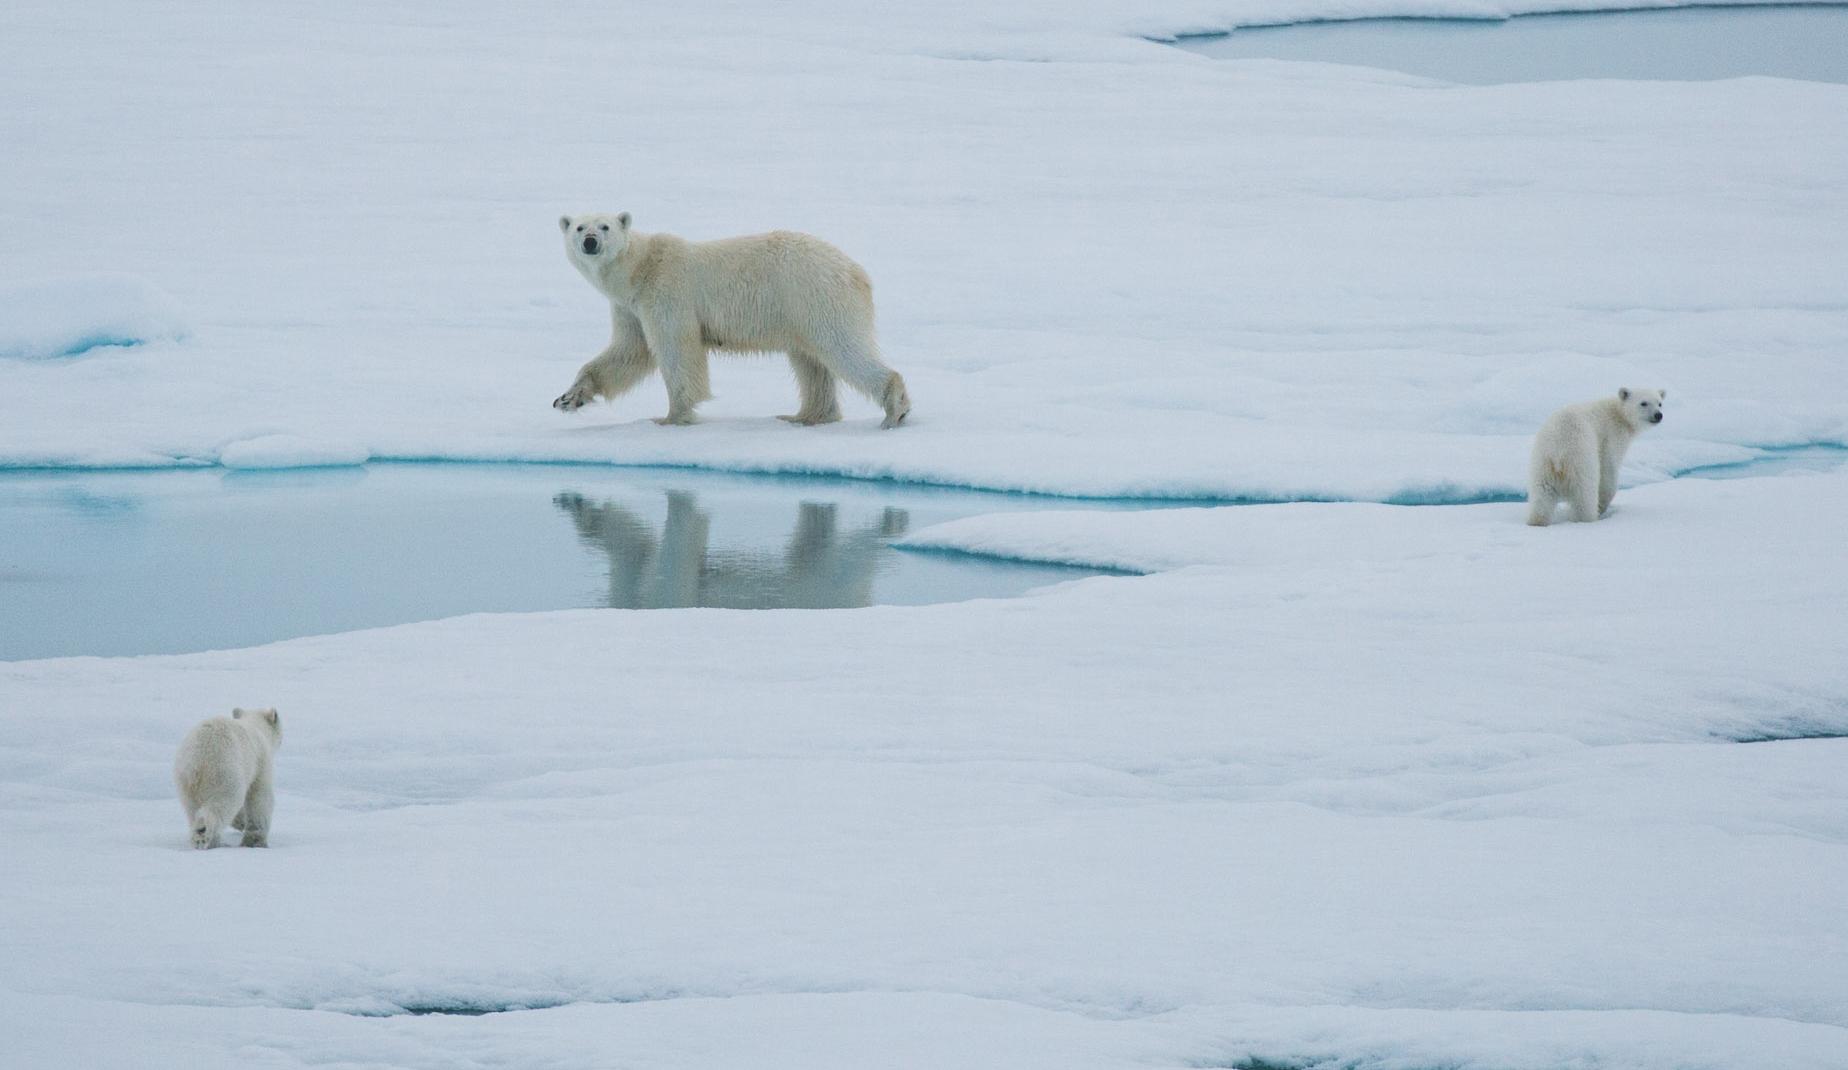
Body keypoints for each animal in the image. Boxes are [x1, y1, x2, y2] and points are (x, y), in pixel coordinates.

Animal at [554, 213, 916, 430]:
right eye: (579, 226)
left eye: (604, 226)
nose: (590, 241)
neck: (639, 269)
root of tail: (857, 272)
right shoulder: (629, 307)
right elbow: (629, 352)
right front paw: (569, 398)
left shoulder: (667, 293)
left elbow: (676, 350)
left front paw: (670, 417)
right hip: (801, 310)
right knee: (811, 363)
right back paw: (804, 416)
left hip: (814, 297)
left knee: (842, 349)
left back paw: (894, 408)